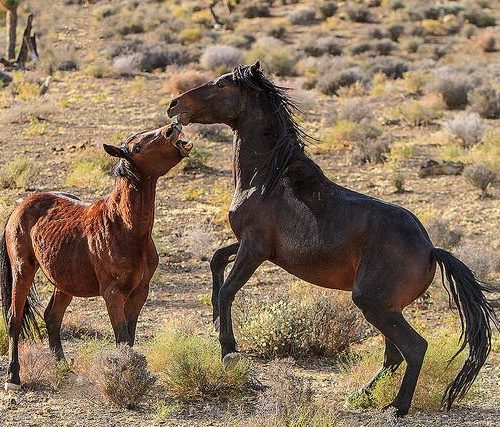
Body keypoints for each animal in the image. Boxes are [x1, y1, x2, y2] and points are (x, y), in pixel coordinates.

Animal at [0, 121, 192, 392]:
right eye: (137, 147)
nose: (172, 127)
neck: (124, 226)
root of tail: (20, 207)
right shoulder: (113, 294)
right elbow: (122, 336)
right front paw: (123, 379)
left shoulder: (139, 293)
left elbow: (130, 337)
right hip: (22, 271)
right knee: (14, 319)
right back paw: (13, 378)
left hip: (64, 283)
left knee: (52, 317)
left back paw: (63, 369)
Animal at [169, 63, 500, 418]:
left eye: (220, 86)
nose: (174, 105)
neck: (266, 178)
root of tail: (430, 250)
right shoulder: (255, 247)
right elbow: (217, 259)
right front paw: (216, 320)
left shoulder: (254, 248)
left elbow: (228, 291)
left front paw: (229, 353)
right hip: (386, 307)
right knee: (393, 354)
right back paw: (361, 396)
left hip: (374, 304)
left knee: (413, 348)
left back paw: (396, 407)